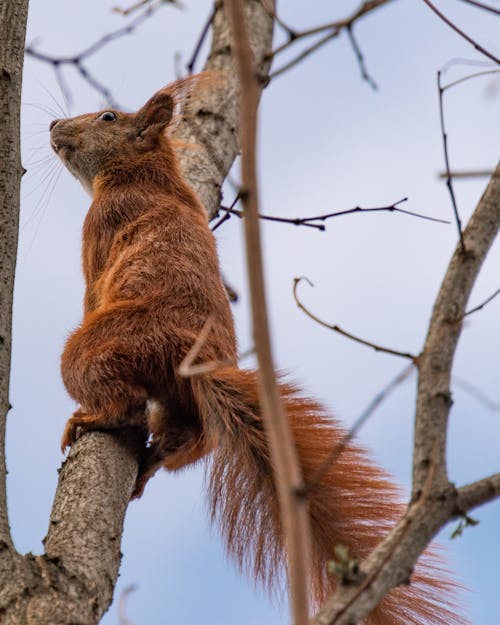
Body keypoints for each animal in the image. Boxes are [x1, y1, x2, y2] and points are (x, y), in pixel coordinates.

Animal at [49, 75, 464, 620]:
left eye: (107, 118)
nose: (54, 125)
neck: (148, 175)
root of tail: (198, 365)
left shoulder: (102, 228)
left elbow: (92, 289)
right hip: (182, 411)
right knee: (183, 440)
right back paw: (147, 466)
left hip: (106, 343)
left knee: (118, 396)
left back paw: (94, 417)